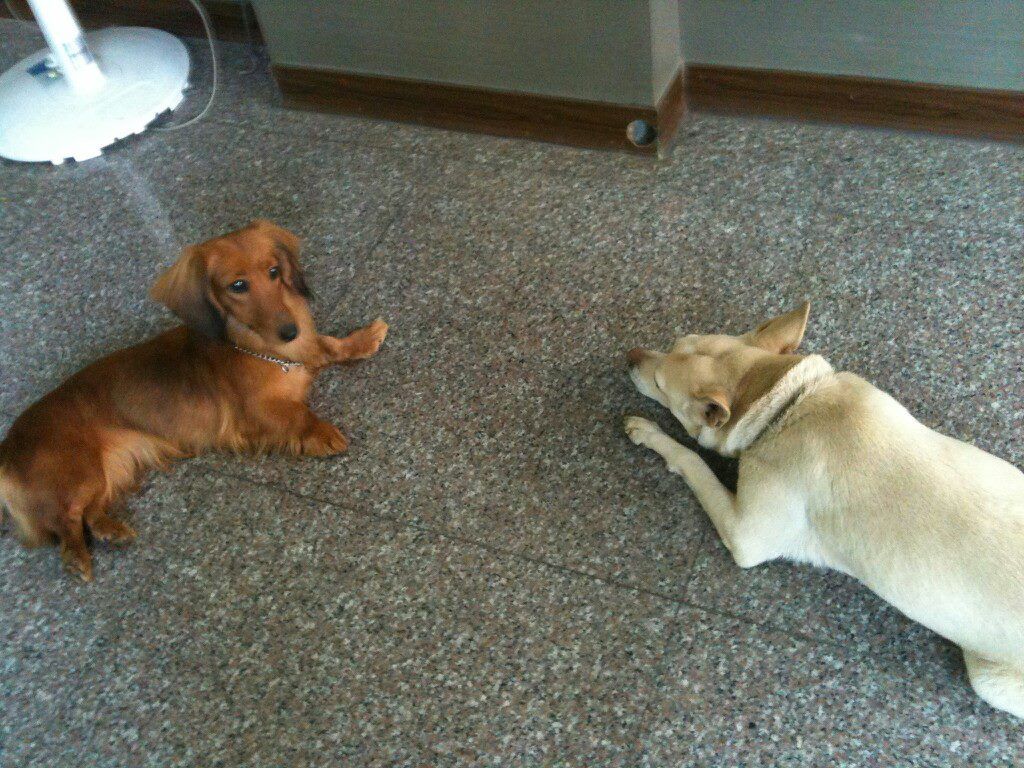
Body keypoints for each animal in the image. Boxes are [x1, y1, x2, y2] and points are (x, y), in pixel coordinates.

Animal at [0, 220, 387, 581]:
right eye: (238, 286)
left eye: (274, 272)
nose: (290, 331)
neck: (255, 346)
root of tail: (7, 447)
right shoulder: (256, 411)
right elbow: (299, 414)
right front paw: (323, 433)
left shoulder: (304, 352)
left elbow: (329, 346)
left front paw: (364, 338)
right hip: (80, 472)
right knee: (64, 520)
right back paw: (76, 557)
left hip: (114, 468)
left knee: (89, 513)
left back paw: (109, 531)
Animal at [624, 302, 1024, 718]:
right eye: (674, 343)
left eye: (660, 384)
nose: (629, 356)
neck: (785, 404)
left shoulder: (745, 535)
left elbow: (692, 461)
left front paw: (650, 433)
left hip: (991, 683)